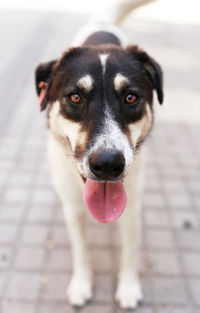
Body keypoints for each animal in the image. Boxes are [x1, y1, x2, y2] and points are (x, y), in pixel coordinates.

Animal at [34, 0, 162, 308]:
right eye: (75, 97)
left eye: (130, 97)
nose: (107, 164)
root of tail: (102, 26)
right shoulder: (72, 208)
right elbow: (81, 250)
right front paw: (81, 284)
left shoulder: (132, 206)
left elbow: (130, 249)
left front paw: (128, 287)